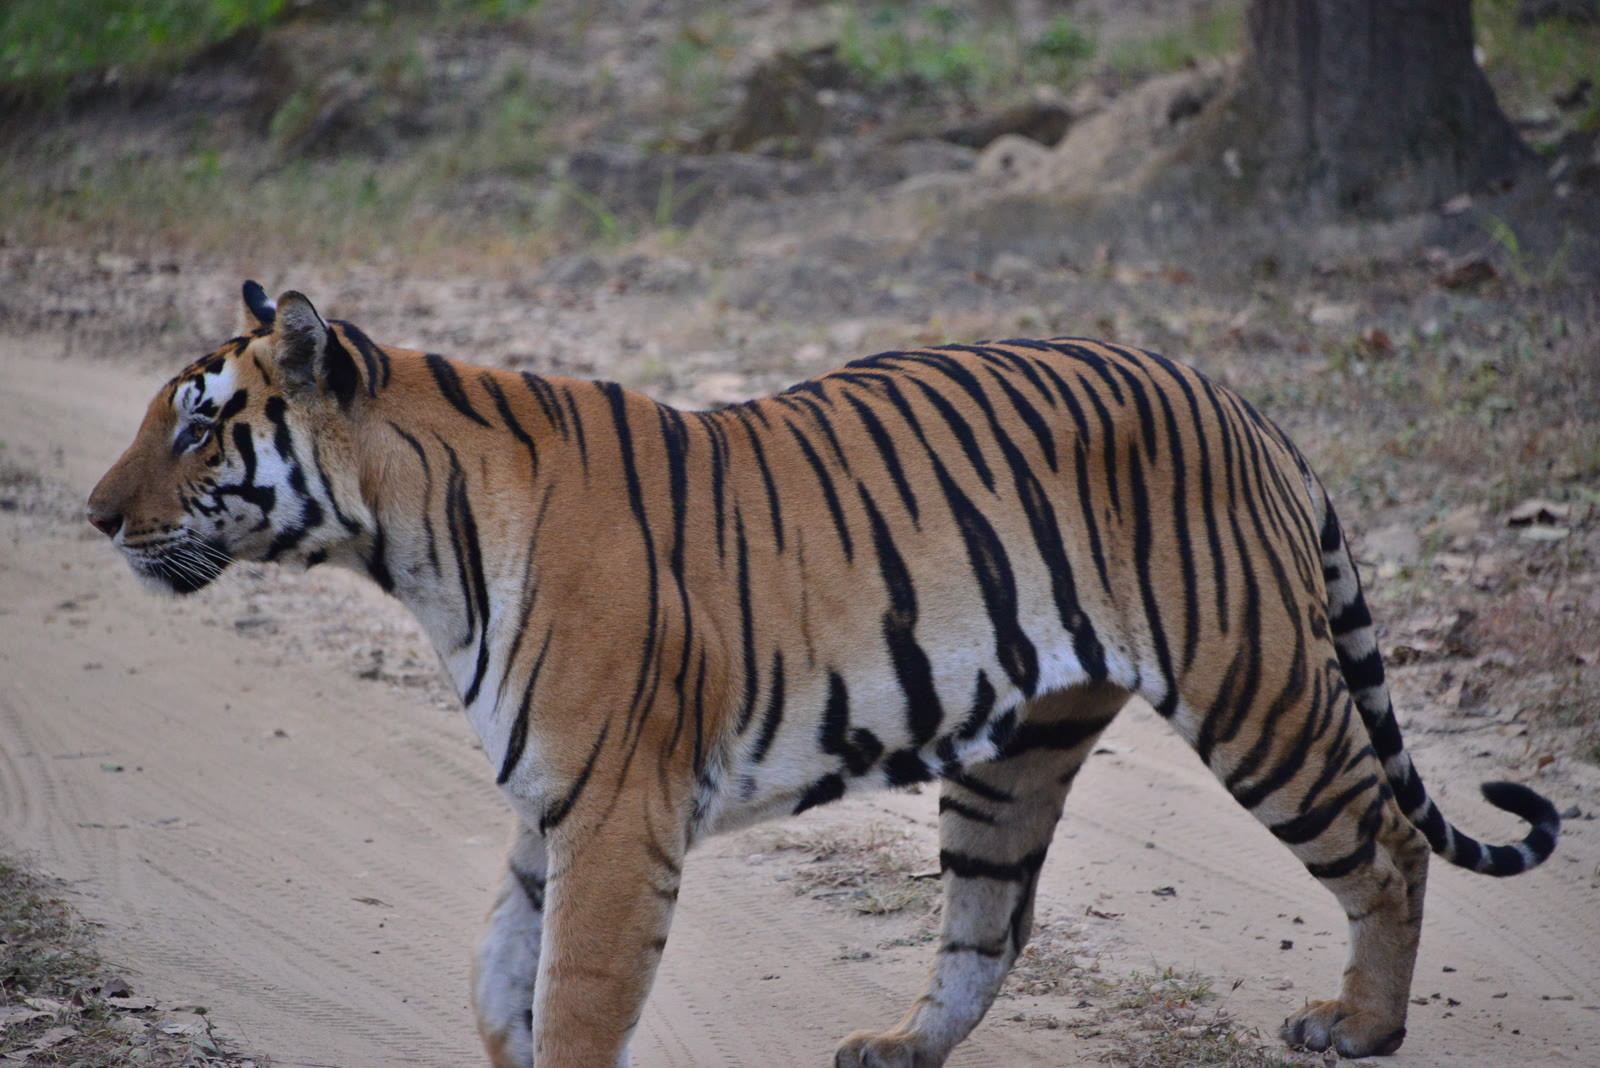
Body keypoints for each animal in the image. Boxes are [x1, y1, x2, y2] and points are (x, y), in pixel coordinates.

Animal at [87, 281, 1560, 1067]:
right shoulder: (551, 805)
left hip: (1254, 686)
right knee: (989, 921)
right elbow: (501, 978)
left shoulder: (615, 817)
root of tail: (1246, 405)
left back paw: (1358, 1025)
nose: (95, 517)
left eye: (201, 427)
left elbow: (573, 1001)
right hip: (1016, 754)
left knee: (1385, 845)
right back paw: (899, 1046)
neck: (408, 542)